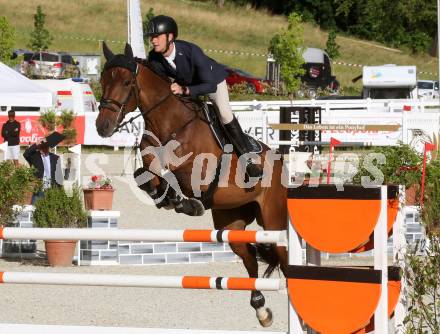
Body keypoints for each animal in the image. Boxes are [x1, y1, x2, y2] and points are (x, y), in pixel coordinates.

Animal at [95, 41, 288, 326]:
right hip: (231, 221)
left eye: (127, 82)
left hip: (274, 221)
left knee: (285, 261)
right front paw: (168, 198)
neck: (170, 122)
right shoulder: (150, 159)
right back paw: (261, 309)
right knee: (250, 259)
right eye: (102, 81)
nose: (103, 127)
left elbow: (174, 175)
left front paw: (184, 202)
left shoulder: (198, 172)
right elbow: (145, 174)